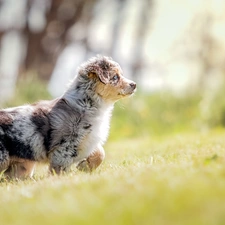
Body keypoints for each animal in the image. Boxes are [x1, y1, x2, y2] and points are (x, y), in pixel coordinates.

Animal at [0, 55, 136, 178]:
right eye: (115, 77)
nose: (134, 84)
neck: (87, 104)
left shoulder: (89, 140)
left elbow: (100, 153)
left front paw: (84, 166)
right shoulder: (66, 145)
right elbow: (61, 168)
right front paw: (59, 180)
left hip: (23, 164)